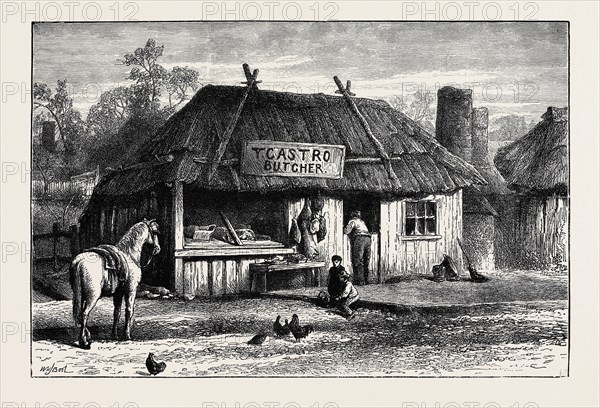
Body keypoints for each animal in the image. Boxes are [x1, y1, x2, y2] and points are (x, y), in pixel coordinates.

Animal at [70, 218, 161, 350]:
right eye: (154, 232)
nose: (158, 248)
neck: (129, 255)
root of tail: (79, 261)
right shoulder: (131, 291)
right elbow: (129, 311)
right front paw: (127, 335)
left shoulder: (118, 293)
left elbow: (116, 313)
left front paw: (114, 335)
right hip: (92, 296)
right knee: (84, 314)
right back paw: (84, 342)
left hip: (81, 295)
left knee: (80, 314)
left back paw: (85, 337)